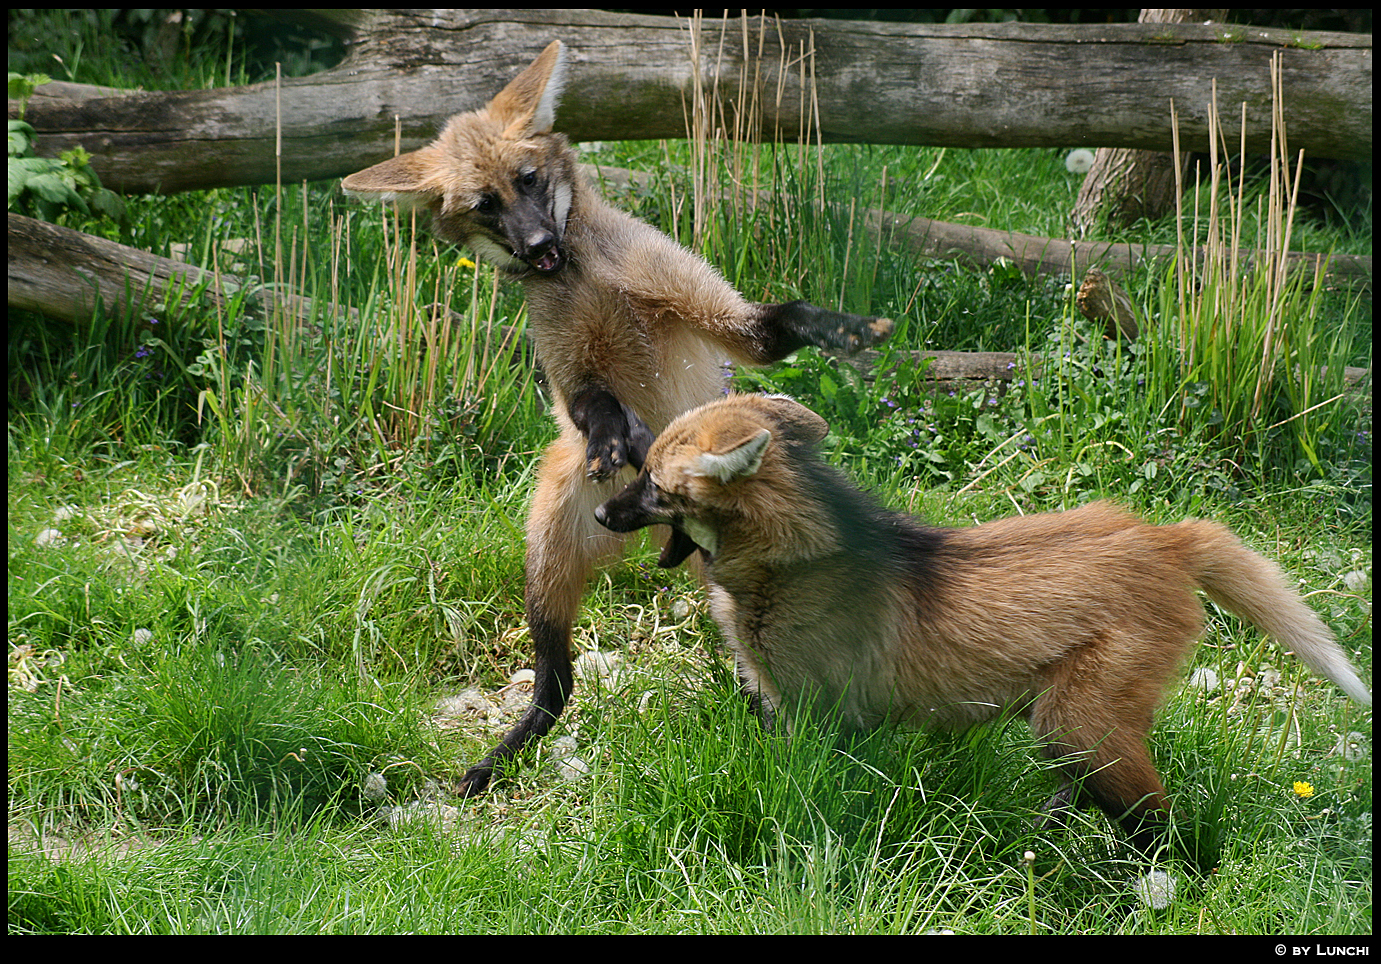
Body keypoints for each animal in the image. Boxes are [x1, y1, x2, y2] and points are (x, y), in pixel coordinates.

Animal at [339, 41, 889, 789]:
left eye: (529, 179)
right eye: (487, 206)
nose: (540, 246)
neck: (583, 274)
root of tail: (641, 535)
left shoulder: (709, 310)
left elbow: (776, 325)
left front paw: (848, 330)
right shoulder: (569, 369)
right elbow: (591, 404)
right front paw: (615, 437)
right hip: (549, 543)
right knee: (555, 679)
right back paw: (500, 756)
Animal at [593, 394, 1369, 850]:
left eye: (653, 485)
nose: (601, 512)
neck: (790, 561)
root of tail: (1166, 537)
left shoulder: (825, 717)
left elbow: (815, 792)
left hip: (1079, 720)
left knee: (1160, 819)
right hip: (1069, 726)